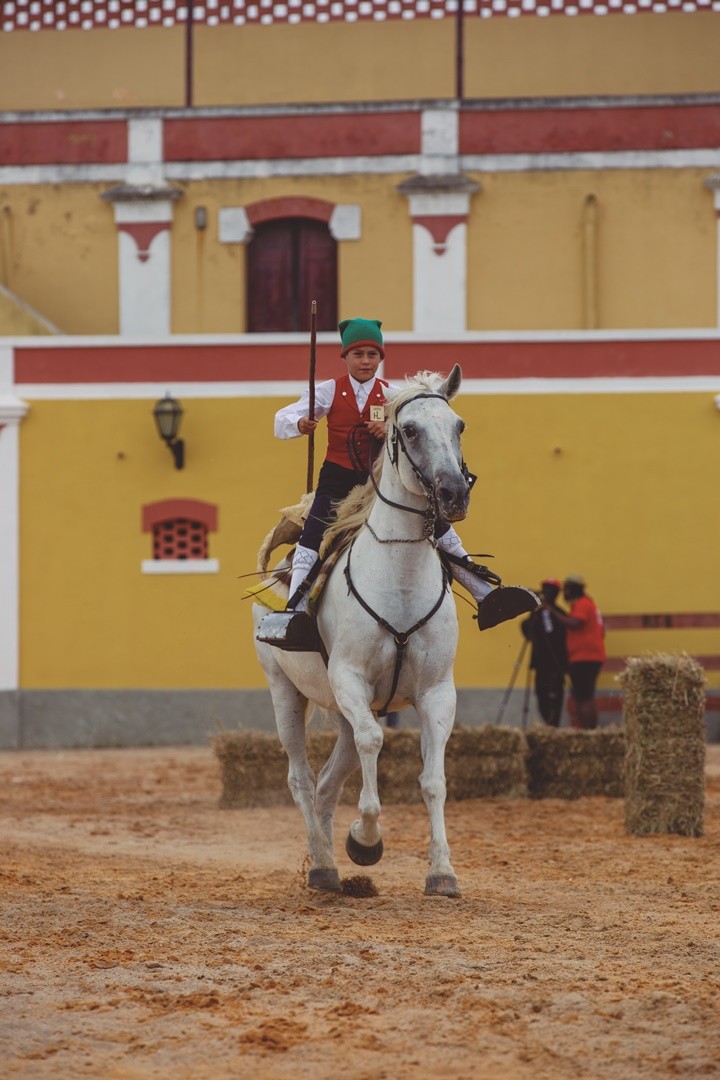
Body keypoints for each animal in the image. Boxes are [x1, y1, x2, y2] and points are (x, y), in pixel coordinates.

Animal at [253, 367, 479, 898]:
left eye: (458, 426)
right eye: (409, 430)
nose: (454, 494)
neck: (401, 575)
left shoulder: (438, 692)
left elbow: (433, 779)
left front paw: (442, 872)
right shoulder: (350, 680)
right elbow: (374, 743)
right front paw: (366, 841)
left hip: (340, 711)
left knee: (328, 780)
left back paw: (327, 861)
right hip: (285, 691)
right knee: (302, 777)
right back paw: (322, 864)